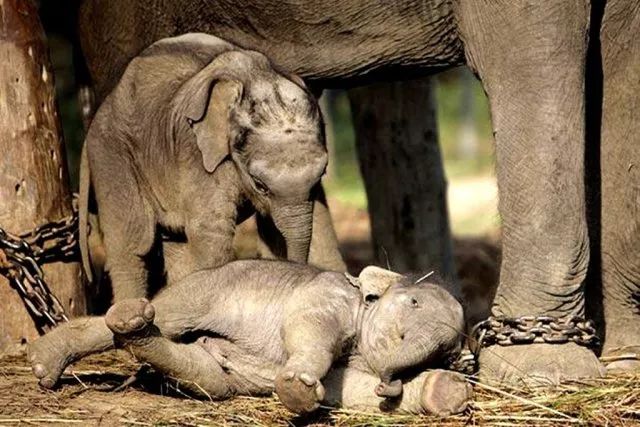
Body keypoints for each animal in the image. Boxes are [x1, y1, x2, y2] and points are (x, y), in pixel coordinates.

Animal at [28, 260, 470, 414]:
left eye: (448, 350)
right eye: (413, 301)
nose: (389, 387)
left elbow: (345, 388)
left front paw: (445, 391)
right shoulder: (327, 294)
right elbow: (304, 324)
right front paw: (298, 386)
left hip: (215, 374)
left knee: (203, 375)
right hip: (202, 290)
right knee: (165, 317)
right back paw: (47, 361)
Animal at [76, 0, 640, 382]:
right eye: (256, 181)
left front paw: (624, 361)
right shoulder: (204, 163)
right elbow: (533, 54)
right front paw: (549, 368)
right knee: (135, 234)